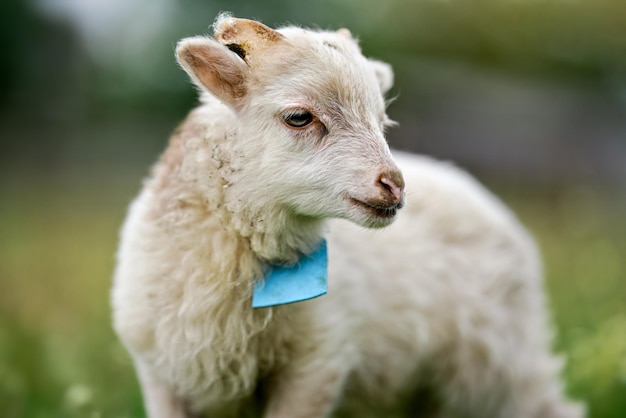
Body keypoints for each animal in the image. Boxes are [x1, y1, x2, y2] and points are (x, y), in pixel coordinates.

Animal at [109, 13, 584, 418]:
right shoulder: (159, 373)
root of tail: (465, 181)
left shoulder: (317, 361)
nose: (395, 185)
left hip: (501, 359)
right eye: (299, 117)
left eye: (382, 122)